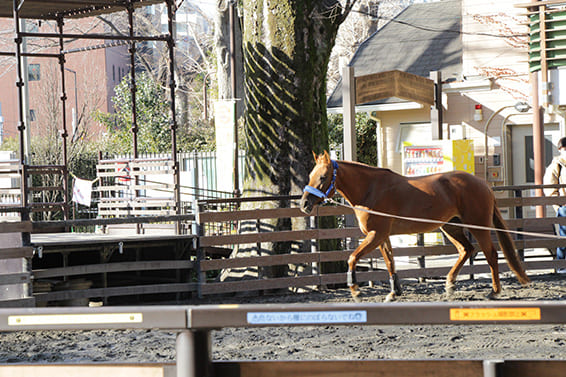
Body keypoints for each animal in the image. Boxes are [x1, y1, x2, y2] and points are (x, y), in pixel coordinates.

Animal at [302, 151, 532, 302]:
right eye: (310, 175)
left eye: (323, 176)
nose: (304, 204)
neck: (370, 190)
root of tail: (482, 183)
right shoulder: (382, 236)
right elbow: (390, 262)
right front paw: (393, 292)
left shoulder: (376, 235)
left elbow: (352, 258)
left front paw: (356, 290)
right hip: (451, 227)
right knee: (466, 250)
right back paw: (450, 285)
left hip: (477, 225)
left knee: (490, 254)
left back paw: (494, 291)